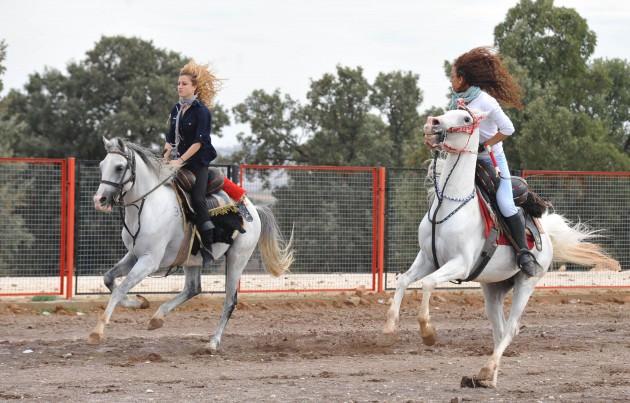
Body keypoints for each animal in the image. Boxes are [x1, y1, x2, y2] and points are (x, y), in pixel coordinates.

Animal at [90, 137, 296, 352]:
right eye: (102, 165)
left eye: (119, 167)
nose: (99, 200)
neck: (148, 206)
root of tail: (252, 208)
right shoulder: (134, 255)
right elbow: (109, 279)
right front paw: (140, 303)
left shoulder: (149, 261)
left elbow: (120, 288)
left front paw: (97, 331)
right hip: (193, 258)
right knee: (193, 288)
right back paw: (157, 318)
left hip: (237, 258)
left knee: (230, 300)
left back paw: (213, 342)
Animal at [382, 107, 620, 388]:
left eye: (466, 118)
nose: (433, 123)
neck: (451, 205)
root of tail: (546, 234)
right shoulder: (428, 259)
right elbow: (403, 280)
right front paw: (389, 327)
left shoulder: (460, 264)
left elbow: (428, 283)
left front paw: (428, 332)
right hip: (493, 289)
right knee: (499, 329)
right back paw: (487, 378)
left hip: (526, 283)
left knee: (511, 328)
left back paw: (487, 370)